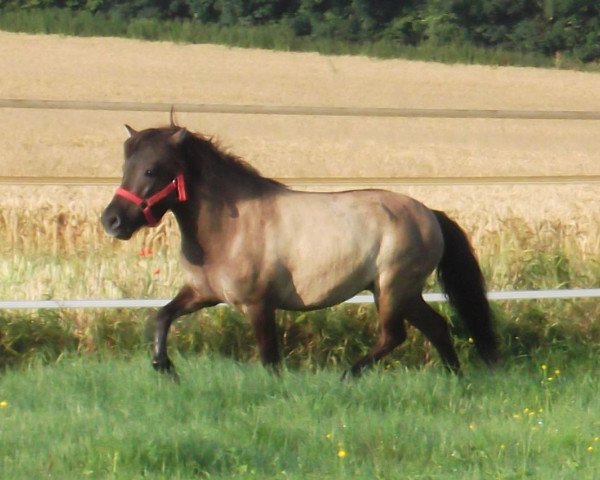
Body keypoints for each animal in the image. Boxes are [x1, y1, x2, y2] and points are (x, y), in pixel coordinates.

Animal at [101, 120, 500, 378]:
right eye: (126, 167)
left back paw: (349, 375)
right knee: (437, 327)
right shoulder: (204, 293)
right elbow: (163, 315)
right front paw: (163, 366)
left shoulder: (258, 305)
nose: (112, 221)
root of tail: (430, 214)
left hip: (393, 287)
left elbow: (269, 358)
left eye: (152, 170)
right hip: (403, 292)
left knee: (394, 335)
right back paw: (455, 379)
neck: (228, 228)